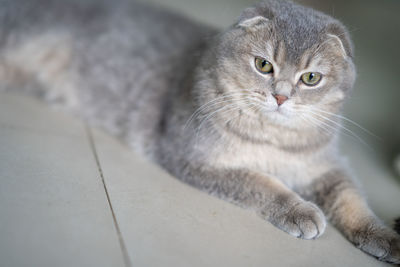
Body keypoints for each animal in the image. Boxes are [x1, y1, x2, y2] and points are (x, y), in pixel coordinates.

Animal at [0, 0, 400, 264]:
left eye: (311, 78)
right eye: (263, 65)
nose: (281, 96)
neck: (275, 138)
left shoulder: (328, 166)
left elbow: (352, 199)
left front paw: (385, 236)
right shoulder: (194, 158)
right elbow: (261, 183)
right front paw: (300, 209)